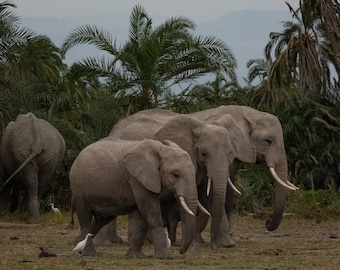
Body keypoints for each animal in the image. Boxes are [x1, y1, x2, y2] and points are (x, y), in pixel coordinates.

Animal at [69, 138, 199, 258]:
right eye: (176, 175)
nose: (181, 251)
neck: (162, 149)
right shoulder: (137, 178)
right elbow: (151, 211)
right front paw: (165, 257)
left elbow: (142, 217)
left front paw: (136, 256)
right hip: (79, 188)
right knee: (85, 216)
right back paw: (89, 253)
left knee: (102, 219)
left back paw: (79, 245)